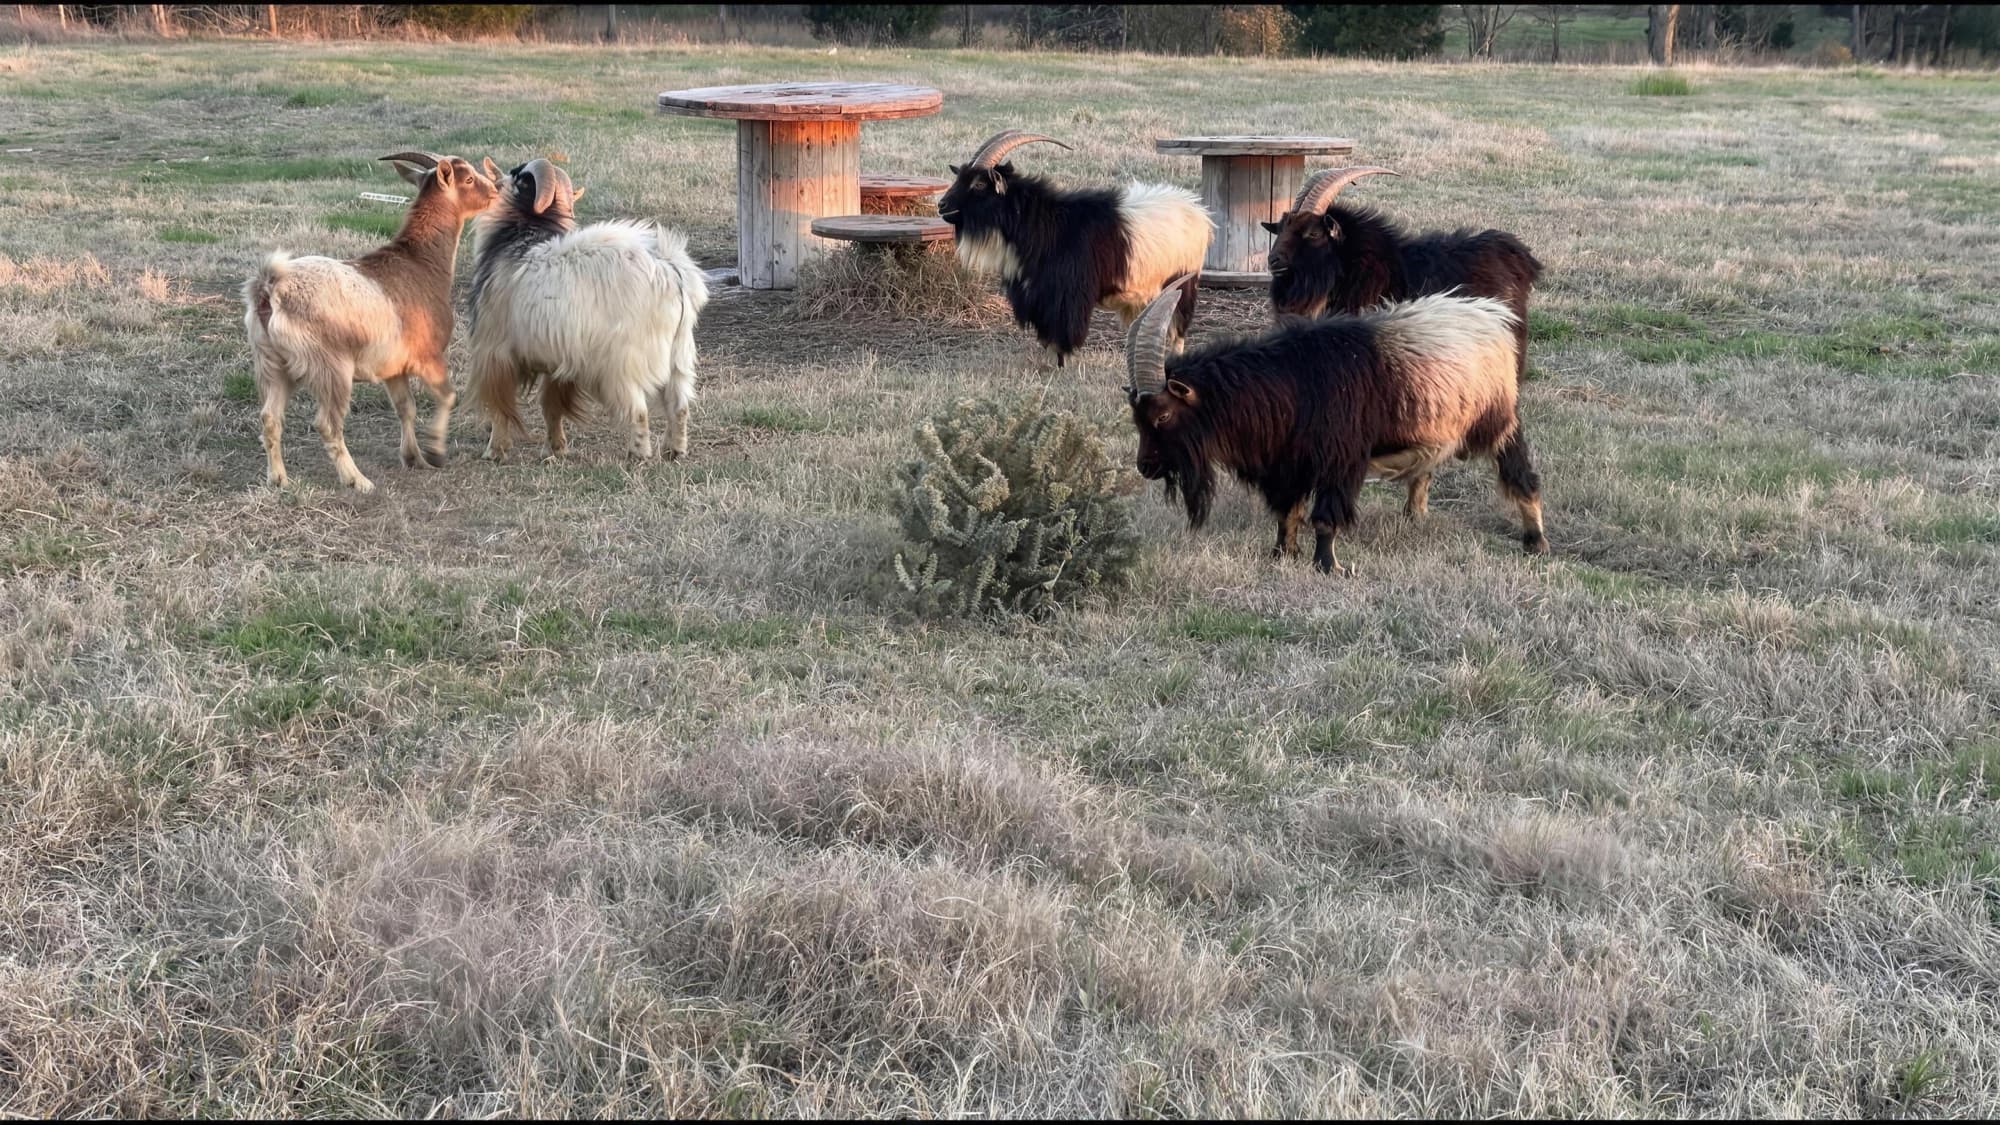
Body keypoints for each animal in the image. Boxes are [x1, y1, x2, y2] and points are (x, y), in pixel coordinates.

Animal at [243, 151, 497, 492]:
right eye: (469, 178)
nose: (494, 190)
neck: (420, 263)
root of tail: (270, 288)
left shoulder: (395, 368)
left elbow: (406, 408)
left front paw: (414, 458)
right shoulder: (427, 356)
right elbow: (448, 396)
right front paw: (435, 452)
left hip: (272, 364)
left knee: (270, 417)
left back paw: (279, 479)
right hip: (331, 366)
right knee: (327, 423)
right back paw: (358, 480)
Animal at [469, 158, 709, 464]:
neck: (517, 240)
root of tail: (671, 271)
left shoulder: (495, 351)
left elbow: (501, 407)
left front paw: (495, 451)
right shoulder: (558, 360)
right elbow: (551, 406)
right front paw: (555, 449)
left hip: (621, 363)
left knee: (639, 410)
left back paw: (638, 454)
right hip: (679, 356)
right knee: (678, 405)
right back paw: (674, 450)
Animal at [937, 129, 1211, 367]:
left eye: (979, 184)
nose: (942, 205)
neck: (1045, 226)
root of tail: (1196, 209)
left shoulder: (1067, 296)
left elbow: (1064, 333)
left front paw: (1062, 366)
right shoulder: (1039, 297)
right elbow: (1047, 336)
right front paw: (1048, 365)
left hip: (1182, 282)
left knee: (1178, 329)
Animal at [1123, 274, 1547, 575]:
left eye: (1162, 415)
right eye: (1136, 418)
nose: (1146, 466)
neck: (1292, 383)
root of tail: (1492, 316)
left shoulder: (1340, 460)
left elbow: (1325, 518)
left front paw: (1330, 566)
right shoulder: (1288, 463)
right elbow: (1287, 512)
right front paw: (1282, 554)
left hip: (1498, 420)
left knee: (1520, 473)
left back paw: (1535, 541)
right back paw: (1415, 515)